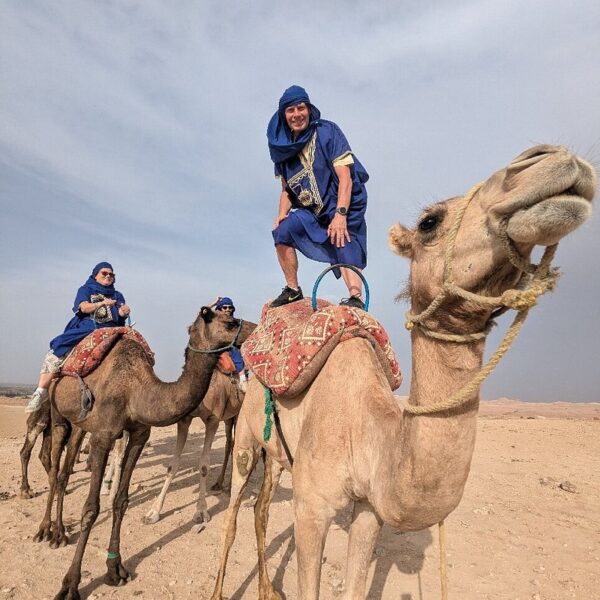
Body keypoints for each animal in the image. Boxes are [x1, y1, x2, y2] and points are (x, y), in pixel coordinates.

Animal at [143, 368, 244, 528]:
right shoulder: (185, 419)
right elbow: (173, 465)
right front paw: (153, 512)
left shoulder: (213, 419)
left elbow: (204, 465)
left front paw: (201, 511)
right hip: (229, 417)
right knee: (230, 443)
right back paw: (219, 483)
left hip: (239, 411)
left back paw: (229, 487)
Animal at [211, 146, 596, 600]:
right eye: (429, 222)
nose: (553, 160)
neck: (368, 426)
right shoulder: (311, 505)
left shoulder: (369, 509)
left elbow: (356, 584)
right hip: (246, 437)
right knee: (234, 511)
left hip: (276, 452)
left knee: (261, 509)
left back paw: (269, 590)